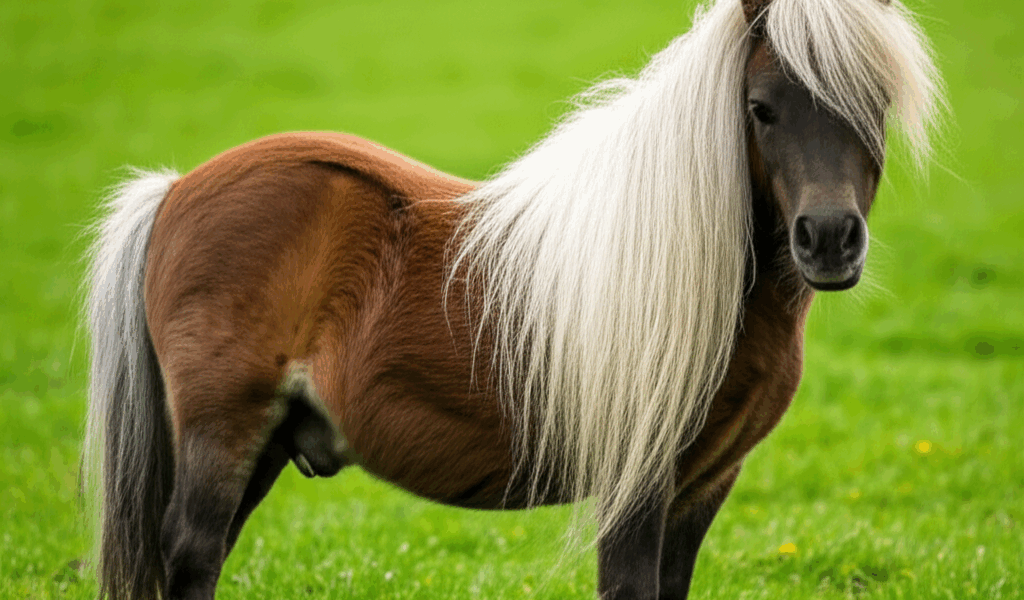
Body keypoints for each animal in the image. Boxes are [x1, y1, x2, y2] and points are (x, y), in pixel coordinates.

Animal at [83, 0, 942, 598]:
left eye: (876, 104)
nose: (828, 239)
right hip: (223, 429)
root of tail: (175, 191)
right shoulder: (637, 488)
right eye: (760, 109)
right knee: (194, 554)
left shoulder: (704, 486)